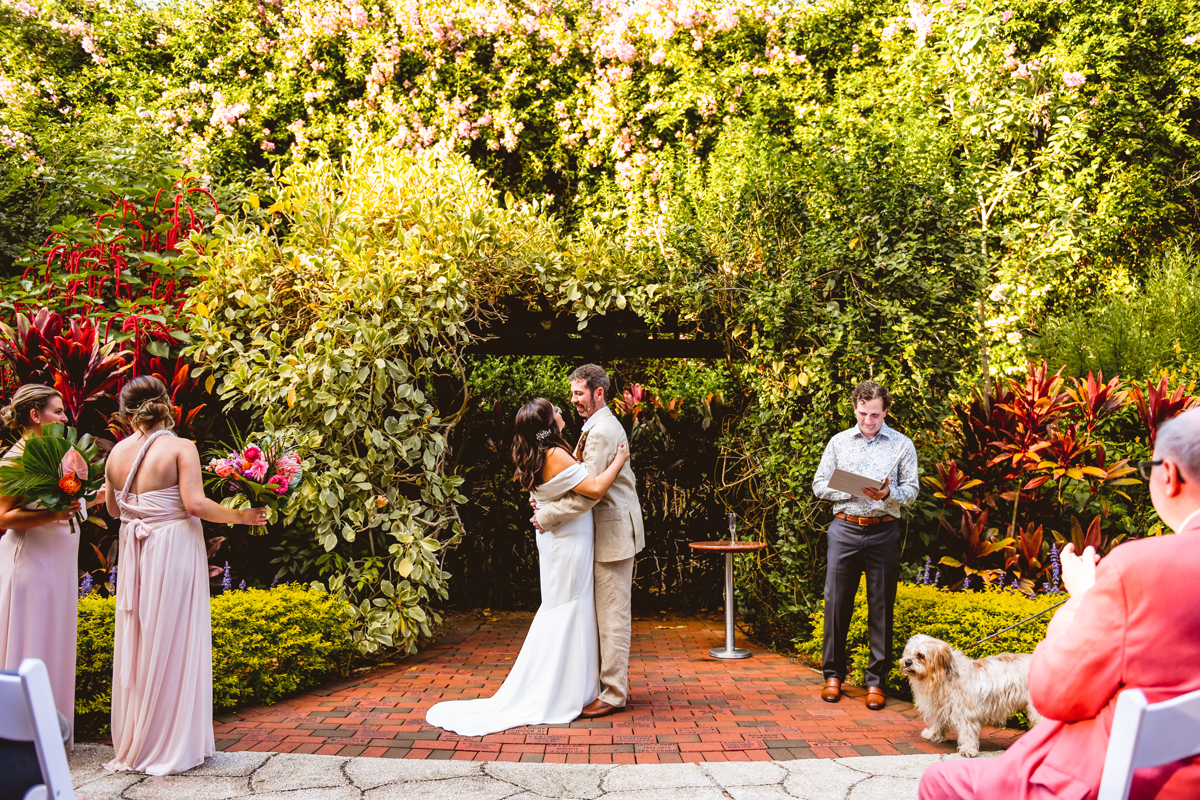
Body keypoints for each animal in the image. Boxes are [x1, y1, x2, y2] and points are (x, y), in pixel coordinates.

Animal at [902, 633, 1041, 758]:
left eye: (921, 655)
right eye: (908, 652)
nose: (907, 662)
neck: (942, 678)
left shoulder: (965, 713)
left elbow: (967, 732)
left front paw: (967, 749)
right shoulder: (940, 707)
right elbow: (939, 723)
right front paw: (934, 735)